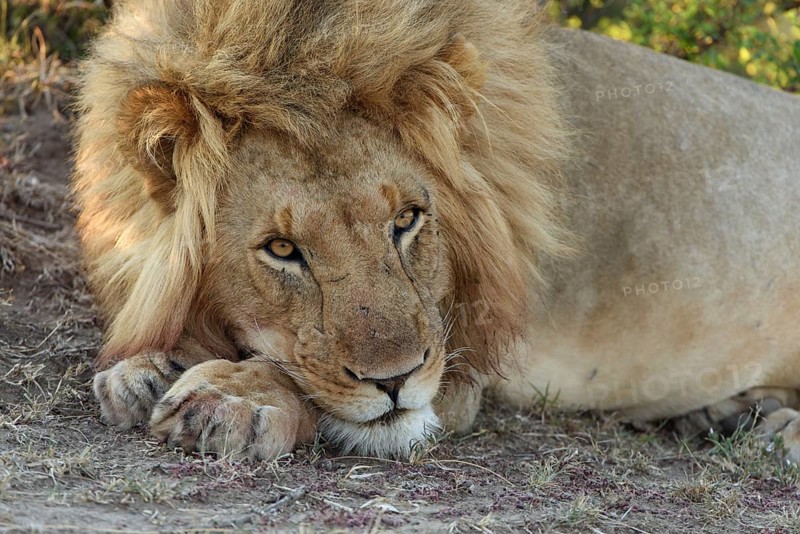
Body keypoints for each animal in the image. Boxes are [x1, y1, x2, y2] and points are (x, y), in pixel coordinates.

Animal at [73, 0, 800, 462]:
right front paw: (146, 367)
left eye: (406, 220)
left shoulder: (462, 359)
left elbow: (311, 387)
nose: (395, 381)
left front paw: (233, 397)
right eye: (282, 250)